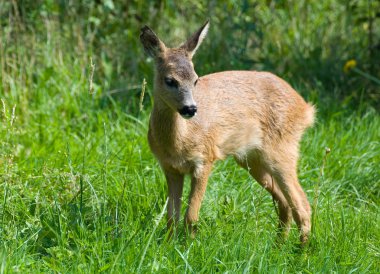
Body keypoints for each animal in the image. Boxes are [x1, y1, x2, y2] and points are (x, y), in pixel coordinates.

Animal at [140, 21, 314, 244]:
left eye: (195, 80)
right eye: (170, 80)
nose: (190, 109)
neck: (179, 141)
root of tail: (305, 108)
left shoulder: (205, 159)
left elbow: (191, 216)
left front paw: (188, 246)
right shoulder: (170, 168)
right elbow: (172, 217)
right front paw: (169, 246)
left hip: (282, 151)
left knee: (303, 204)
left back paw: (301, 251)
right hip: (252, 160)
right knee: (285, 203)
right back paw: (279, 246)